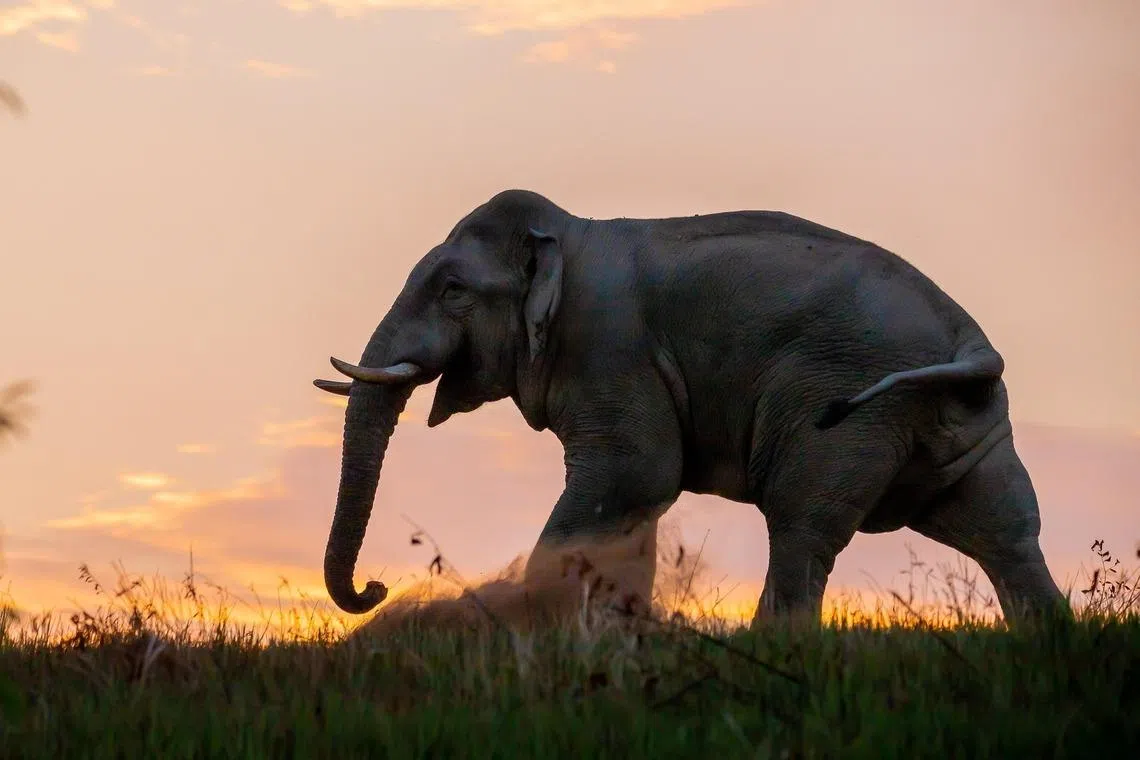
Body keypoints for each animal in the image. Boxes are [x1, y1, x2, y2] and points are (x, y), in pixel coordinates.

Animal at [313, 188, 1068, 626]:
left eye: (452, 290)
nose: (376, 589)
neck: (567, 235)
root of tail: (973, 342)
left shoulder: (609, 346)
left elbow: (631, 479)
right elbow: (630, 508)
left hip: (848, 411)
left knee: (802, 527)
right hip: (963, 421)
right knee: (1006, 532)